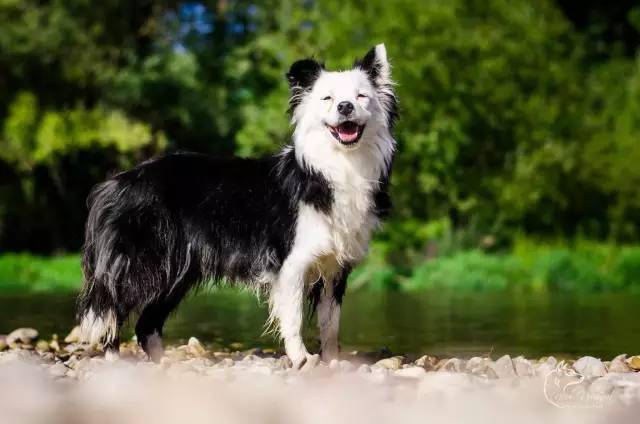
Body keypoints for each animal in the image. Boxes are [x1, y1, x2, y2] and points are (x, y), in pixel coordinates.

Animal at [77, 44, 398, 368]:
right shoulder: (291, 263)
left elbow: (330, 323)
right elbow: (294, 318)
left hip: (177, 272)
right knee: (113, 310)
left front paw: (333, 363)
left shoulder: (335, 267)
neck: (337, 165)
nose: (345, 107)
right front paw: (301, 359)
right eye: (327, 99)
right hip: (142, 264)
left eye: (361, 96)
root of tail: (115, 183)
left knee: (146, 324)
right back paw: (114, 361)